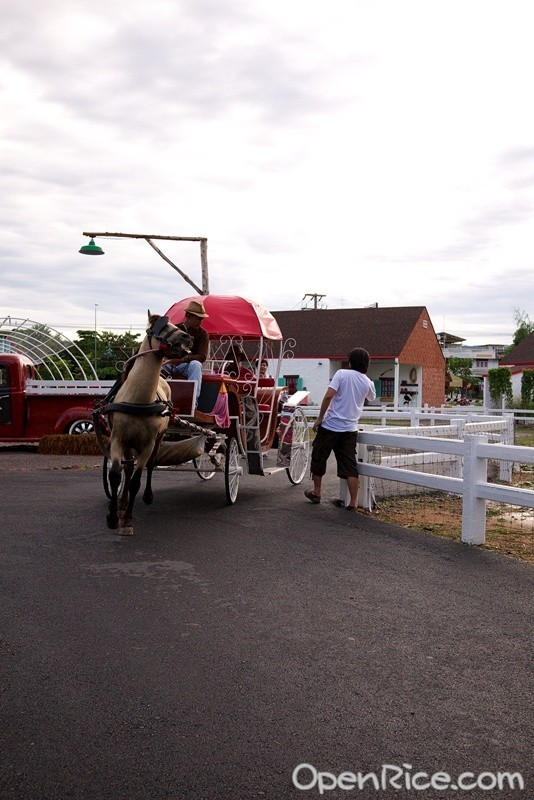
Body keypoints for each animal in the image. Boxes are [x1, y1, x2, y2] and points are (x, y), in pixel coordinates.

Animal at [103, 312, 194, 536]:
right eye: (160, 327)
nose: (188, 337)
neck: (139, 400)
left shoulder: (148, 444)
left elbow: (136, 480)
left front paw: (127, 521)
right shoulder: (117, 439)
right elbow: (115, 475)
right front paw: (113, 516)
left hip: (158, 439)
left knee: (149, 466)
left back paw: (145, 496)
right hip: (128, 444)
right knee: (127, 469)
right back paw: (122, 503)